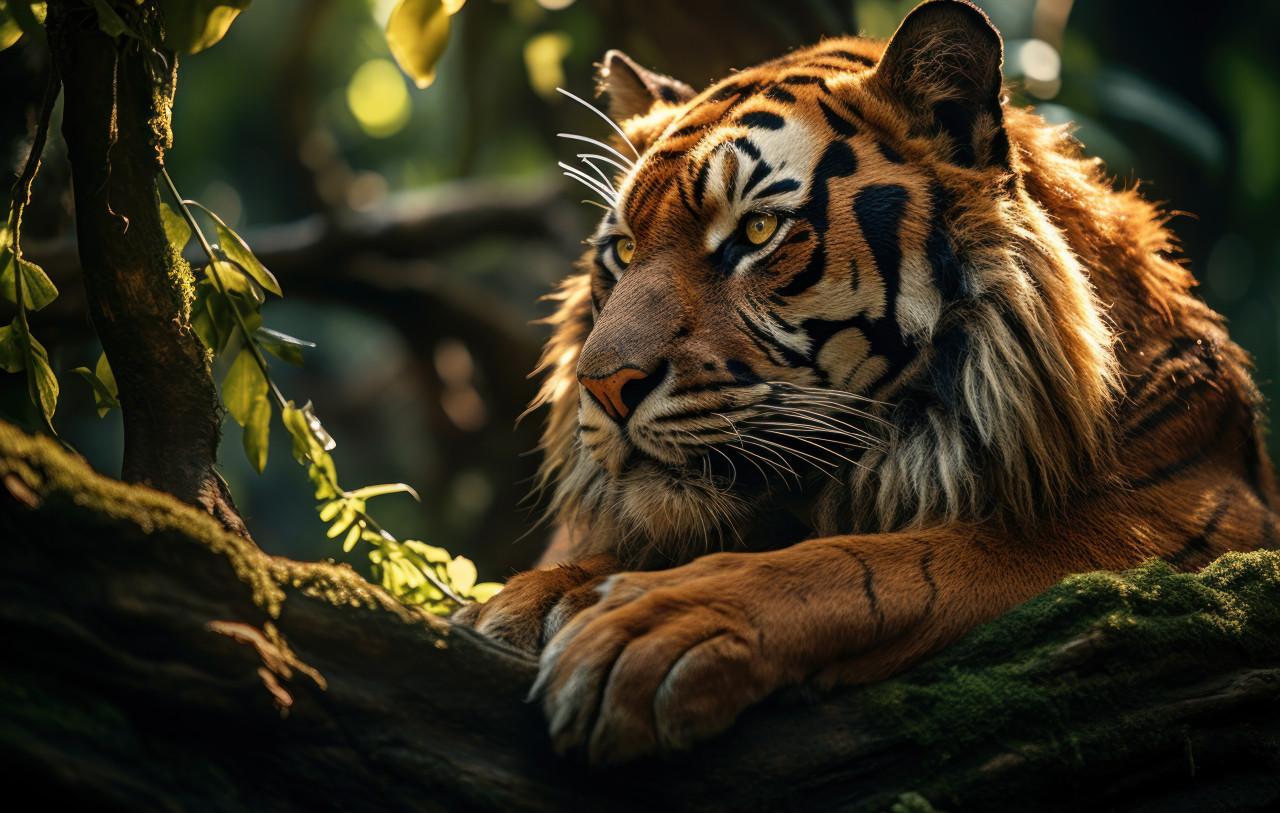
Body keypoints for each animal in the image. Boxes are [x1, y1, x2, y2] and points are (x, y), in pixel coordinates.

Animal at [453, 0, 1279, 765]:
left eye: (757, 232)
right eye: (623, 249)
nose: (602, 385)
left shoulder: (1183, 523)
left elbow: (895, 561)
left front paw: (656, 622)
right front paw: (534, 598)